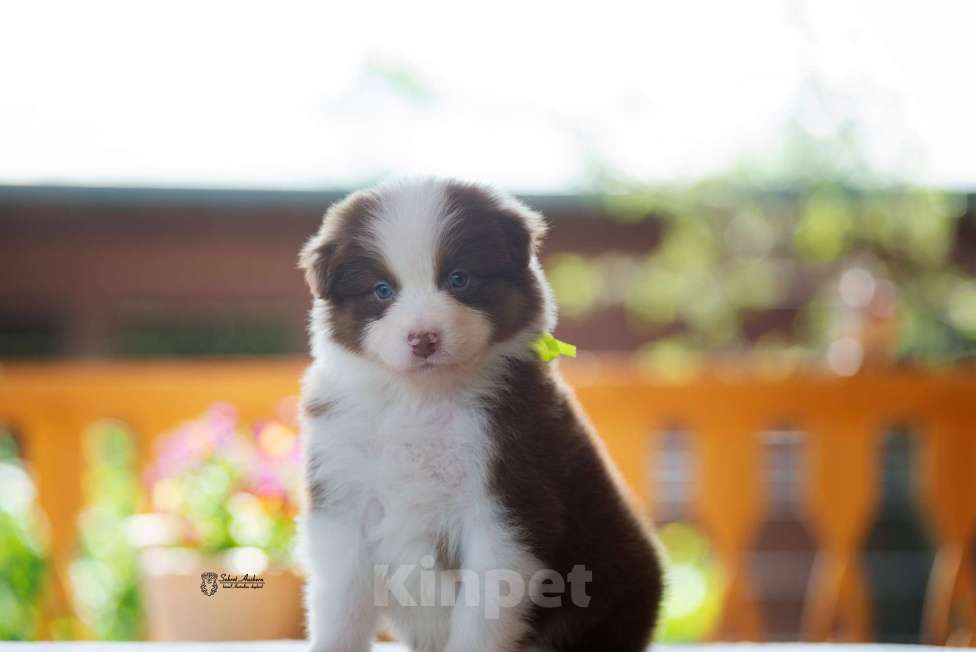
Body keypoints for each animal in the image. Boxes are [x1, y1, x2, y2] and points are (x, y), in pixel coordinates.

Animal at [298, 178, 664, 652]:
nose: (424, 339)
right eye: (382, 290)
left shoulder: (506, 502)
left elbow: (483, 612)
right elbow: (340, 603)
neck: (423, 399)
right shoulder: (343, 497)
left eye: (459, 279)